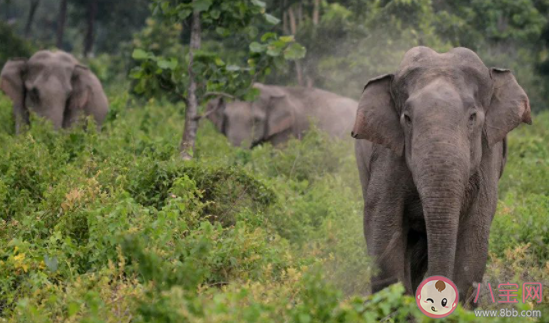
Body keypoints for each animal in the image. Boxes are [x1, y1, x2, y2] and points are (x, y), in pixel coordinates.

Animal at [352, 46, 532, 308]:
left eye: (472, 117)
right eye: (407, 118)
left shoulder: (488, 155)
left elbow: (475, 233)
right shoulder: (388, 157)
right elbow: (383, 224)